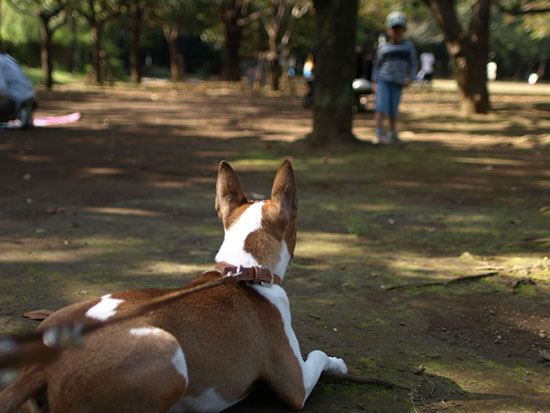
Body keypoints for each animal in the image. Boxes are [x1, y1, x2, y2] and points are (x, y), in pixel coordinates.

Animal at [0, 160, 348, 412]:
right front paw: (337, 363)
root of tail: (45, 366)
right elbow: (318, 355)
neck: (245, 268)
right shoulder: (295, 384)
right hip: (169, 355)